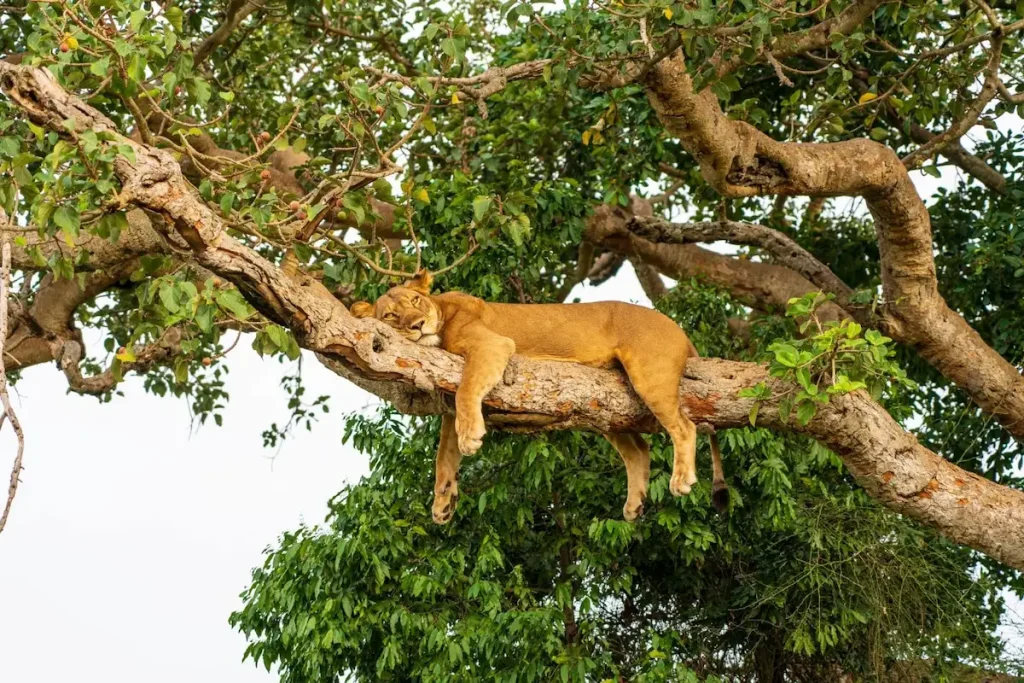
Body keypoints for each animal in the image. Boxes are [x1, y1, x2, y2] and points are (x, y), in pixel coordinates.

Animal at [352, 270, 729, 524]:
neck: (442, 309)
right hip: (605, 403)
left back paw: (681, 480)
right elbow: (444, 452)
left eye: (416, 301)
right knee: (639, 448)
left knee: (684, 427)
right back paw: (634, 504)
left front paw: (471, 437)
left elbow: (467, 392)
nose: (417, 325)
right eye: (391, 316)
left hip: (649, 375)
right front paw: (443, 501)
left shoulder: (492, 346)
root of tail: (678, 328)